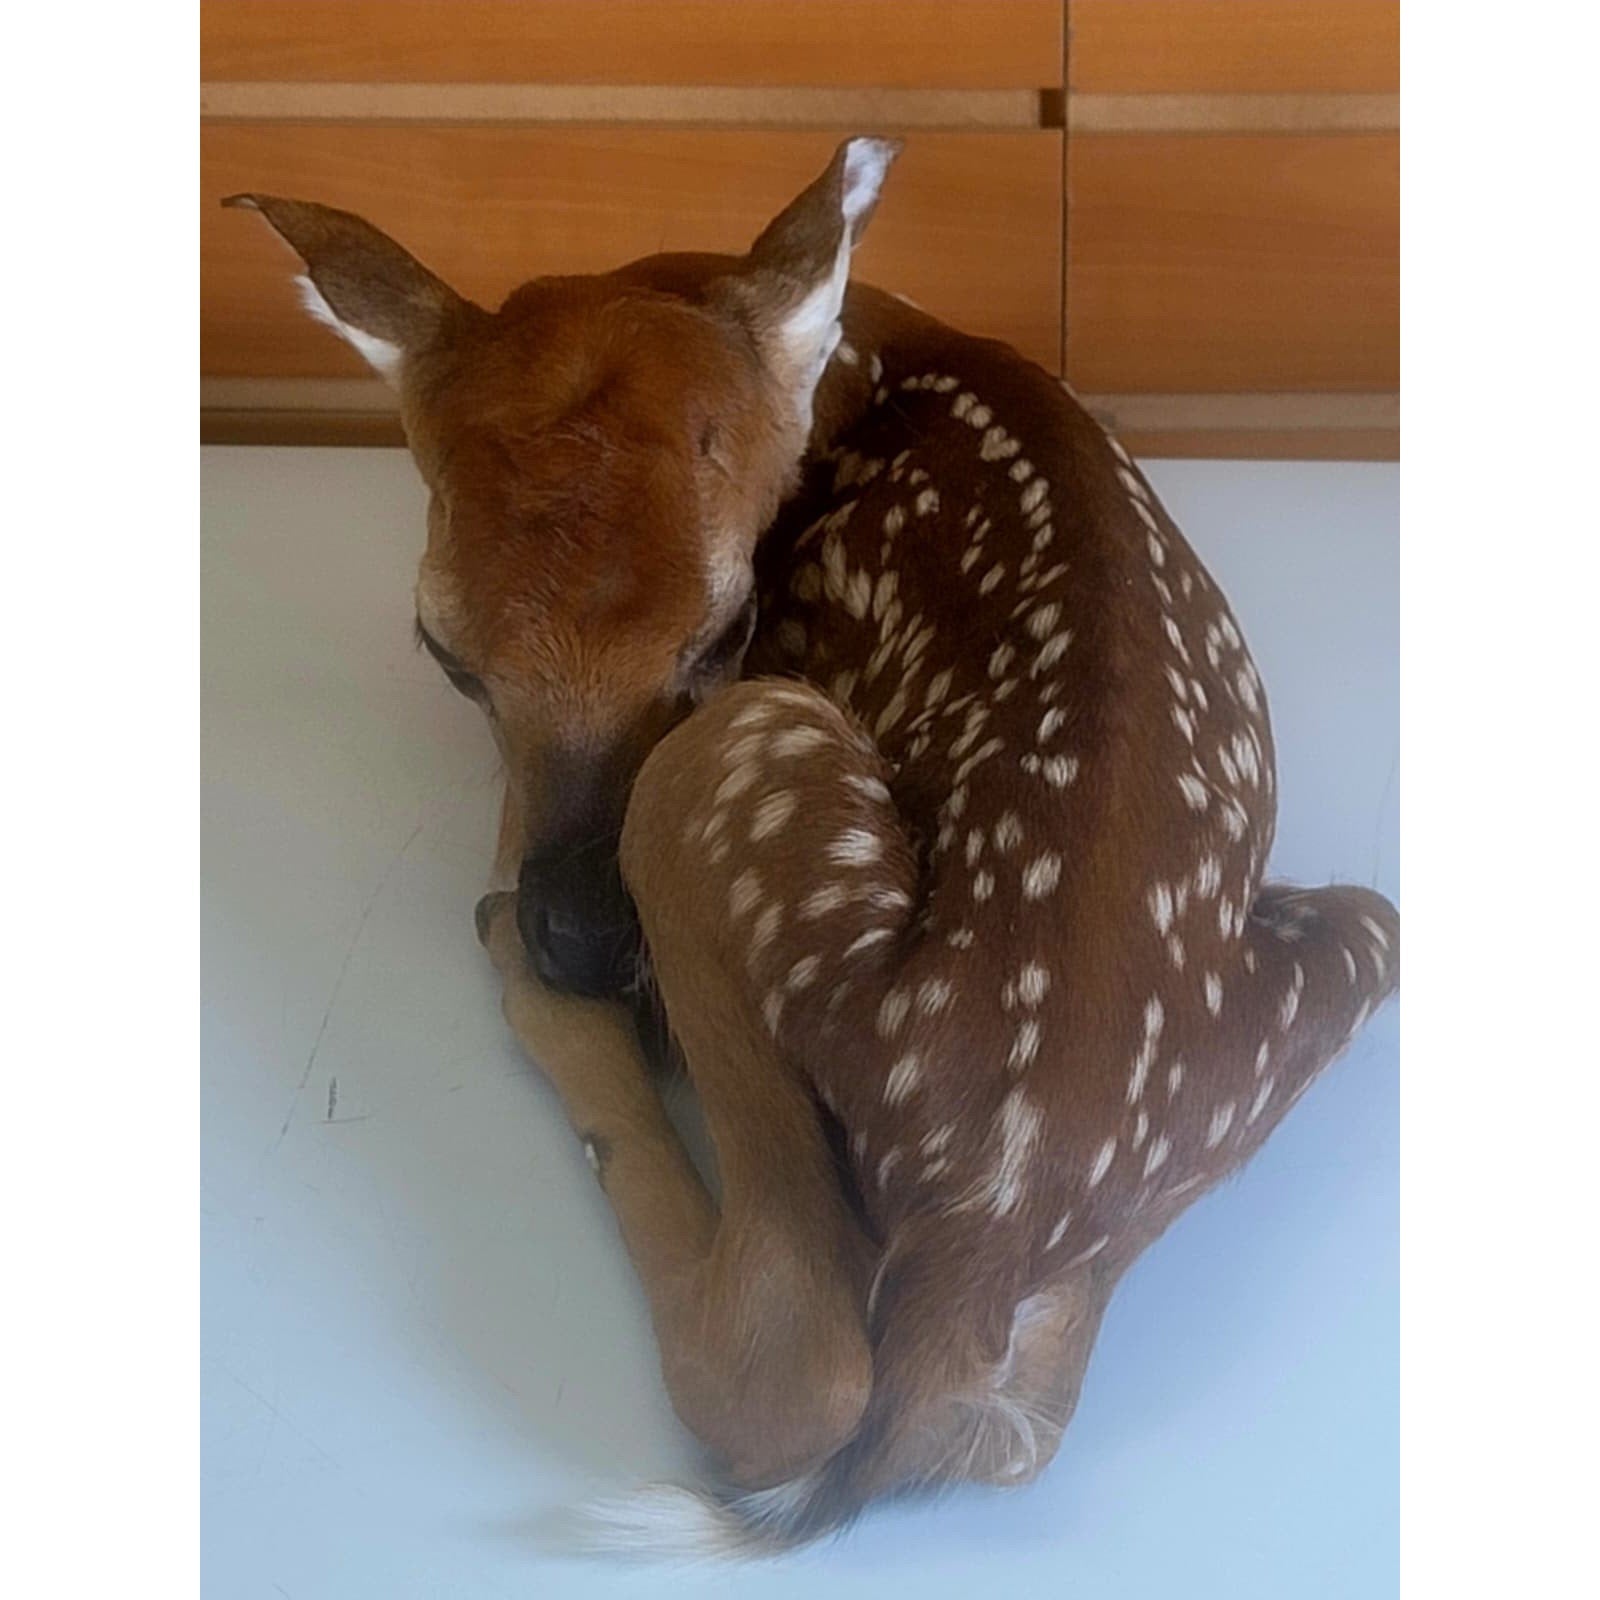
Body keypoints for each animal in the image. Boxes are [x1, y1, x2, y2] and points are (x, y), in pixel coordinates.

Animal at [225, 136, 1399, 1555]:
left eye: (724, 626)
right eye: (446, 653)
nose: (582, 939)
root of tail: (992, 1207)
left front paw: (529, 927)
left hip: (744, 757)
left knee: (799, 1369)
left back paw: (541, 996)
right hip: (1360, 933)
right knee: (1013, 1433)